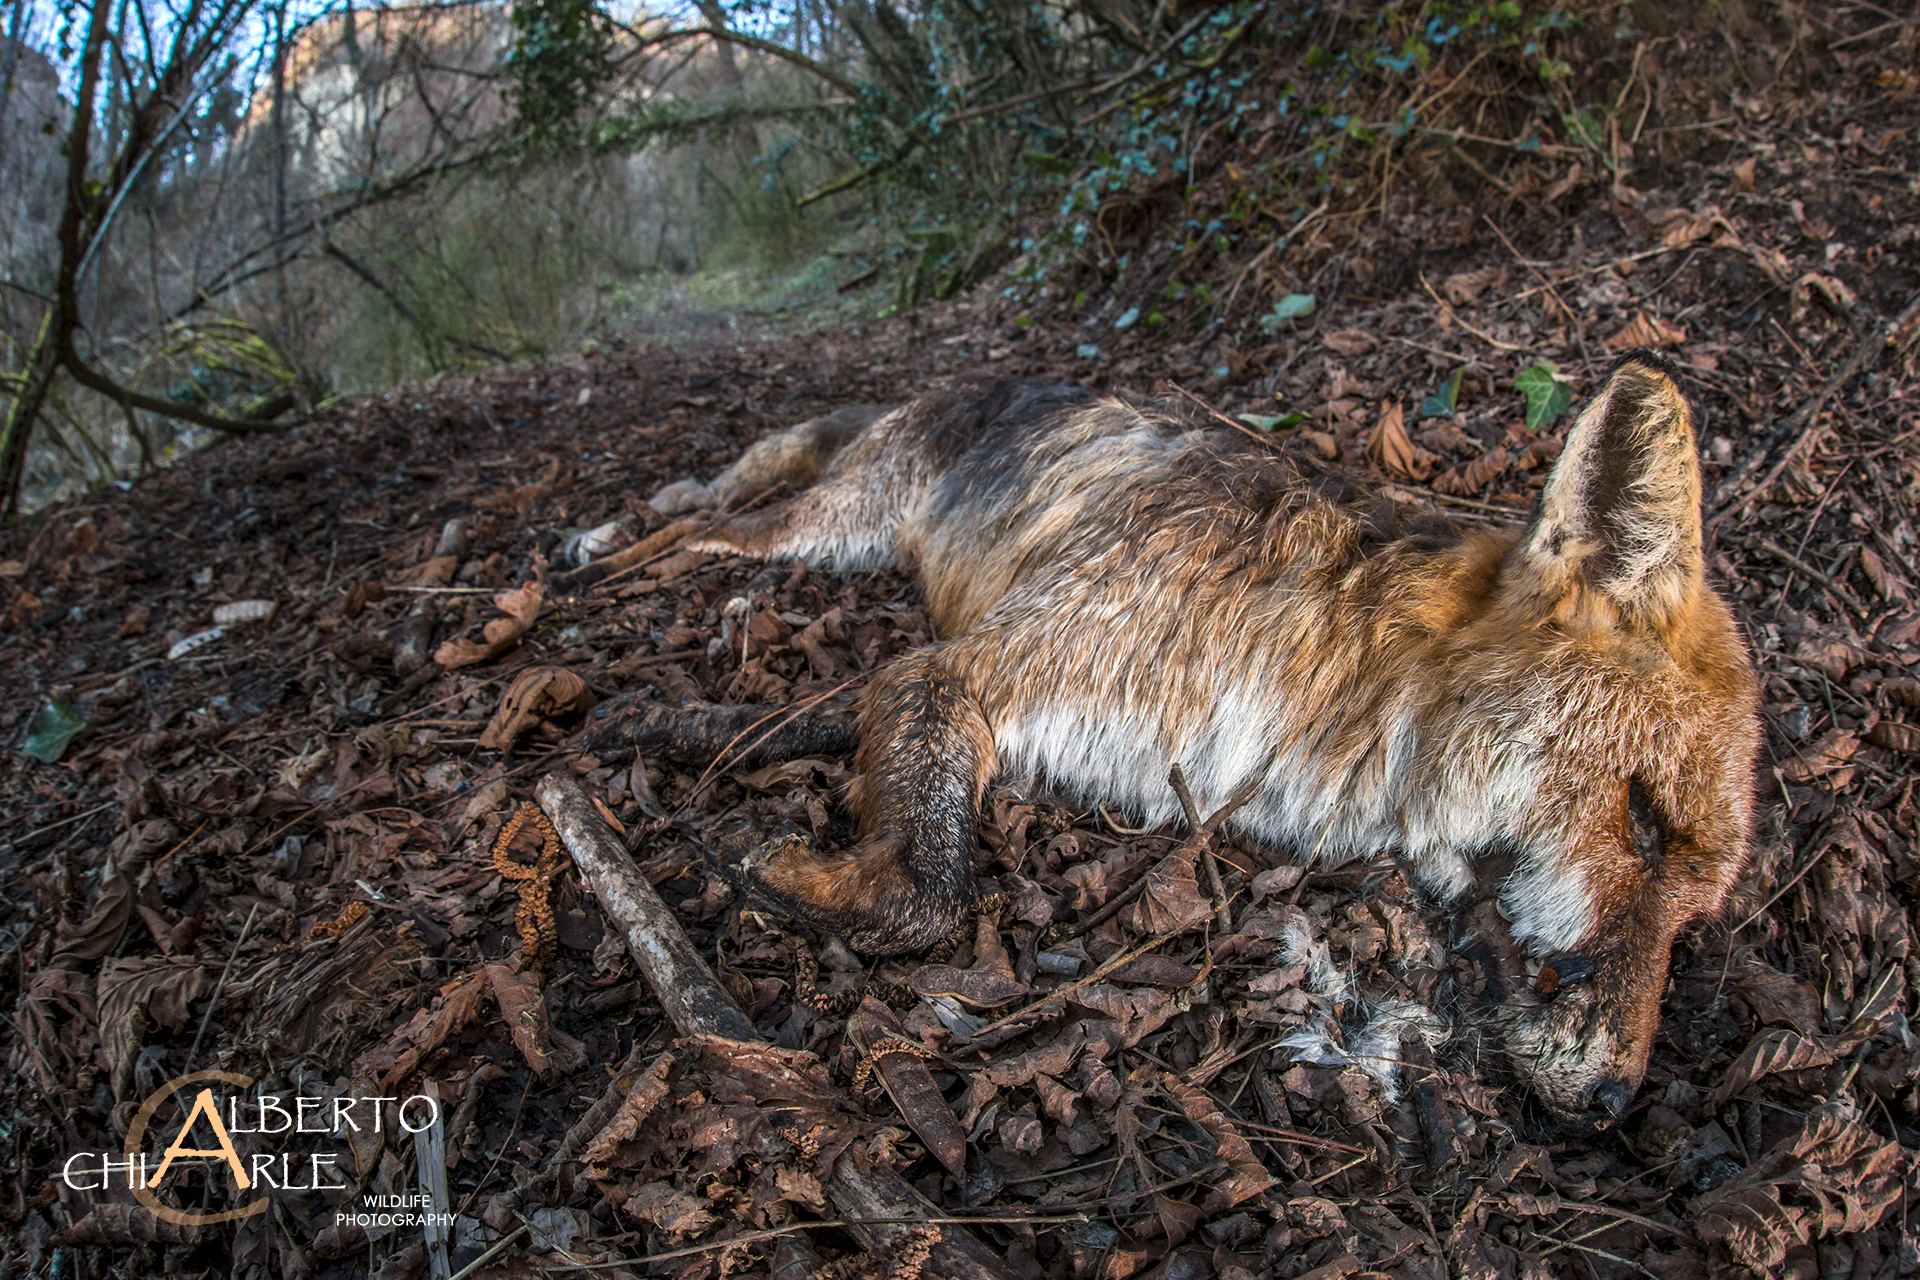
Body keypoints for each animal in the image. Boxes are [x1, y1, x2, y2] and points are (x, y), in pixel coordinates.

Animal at [648, 351, 1762, 1127]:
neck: (1326, 656)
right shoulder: (964, 667)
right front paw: (748, 847)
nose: (1615, 1103)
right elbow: (924, 892)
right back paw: (628, 544)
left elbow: (852, 761)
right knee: (704, 524)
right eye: (1643, 823)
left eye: (1691, 922)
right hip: (824, 531)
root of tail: (965, 381)